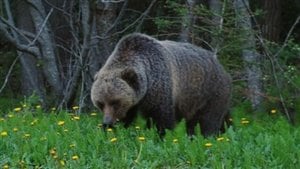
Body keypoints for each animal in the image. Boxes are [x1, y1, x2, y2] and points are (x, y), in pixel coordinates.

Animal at [91, 33, 232, 137]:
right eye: (100, 103)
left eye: (115, 102)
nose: (107, 121)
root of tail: (221, 66)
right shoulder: (134, 101)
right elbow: (128, 117)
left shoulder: (159, 85)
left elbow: (162, 118)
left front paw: (160, 136)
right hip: (194, 101)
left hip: (210, 92)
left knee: (210, 120)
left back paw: (211, 136)